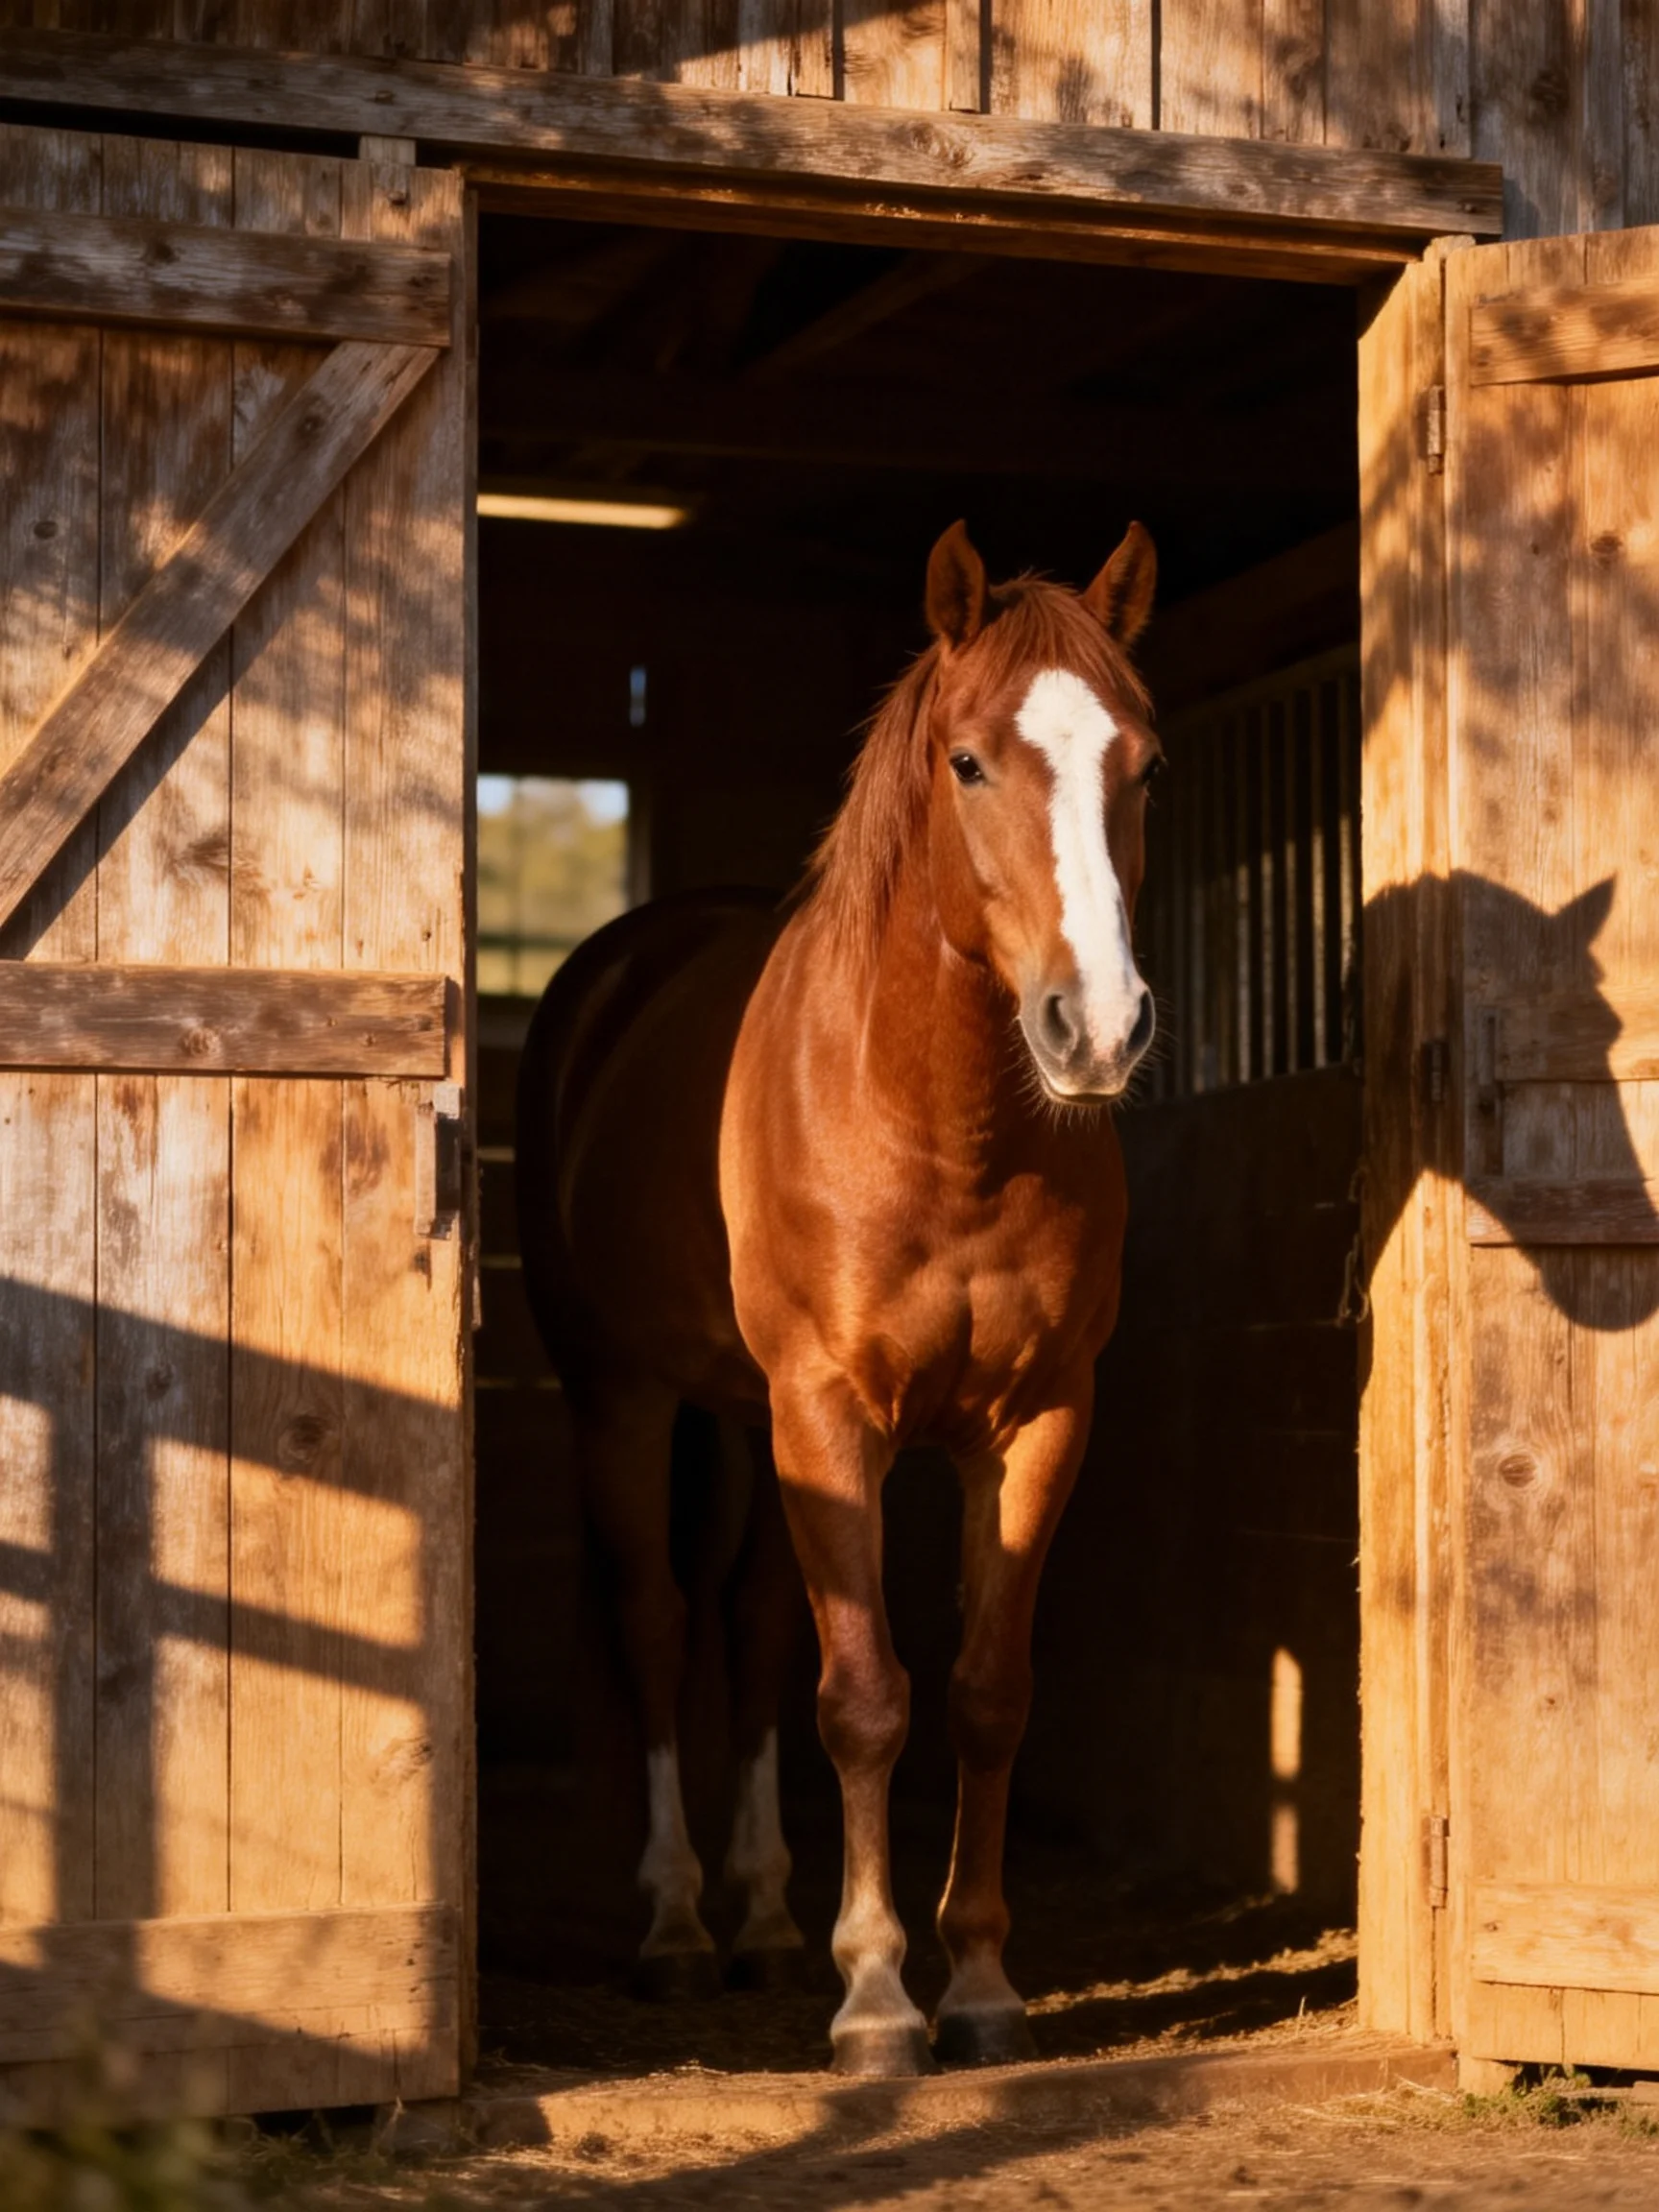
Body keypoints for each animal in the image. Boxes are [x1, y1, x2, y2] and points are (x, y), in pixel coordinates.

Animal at [517, 517, 1162, 2073]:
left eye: (1145, 763)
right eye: (970, 762)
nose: (1099, 1028)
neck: (939, 1125)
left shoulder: (1038, 1424)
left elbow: (985, 1694)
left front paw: (979, 1985)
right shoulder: (827, 1416)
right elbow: (864, 1698)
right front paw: (874, 2000)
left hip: (751, 1425)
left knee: (750, 1628)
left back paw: (758, 1916)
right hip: (627, 1401)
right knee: (659, 1621)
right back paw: (678, 1927)